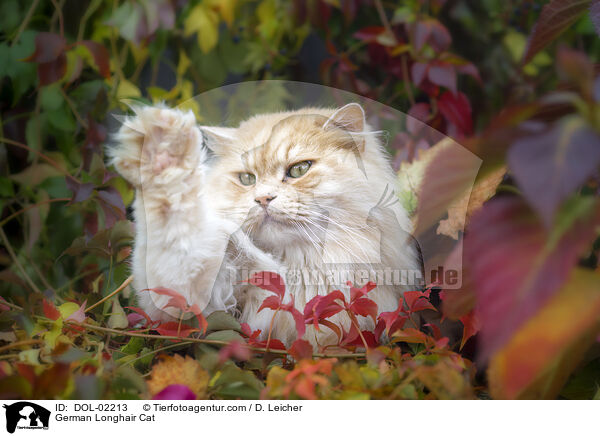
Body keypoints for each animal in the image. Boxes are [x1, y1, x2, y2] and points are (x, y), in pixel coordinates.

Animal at [111, 103, 422, 348]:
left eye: (299, 169)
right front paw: (163, 154)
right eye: (247, 179)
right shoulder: (190, 305)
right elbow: (176, 227)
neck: (297, 268)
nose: (263, 199)